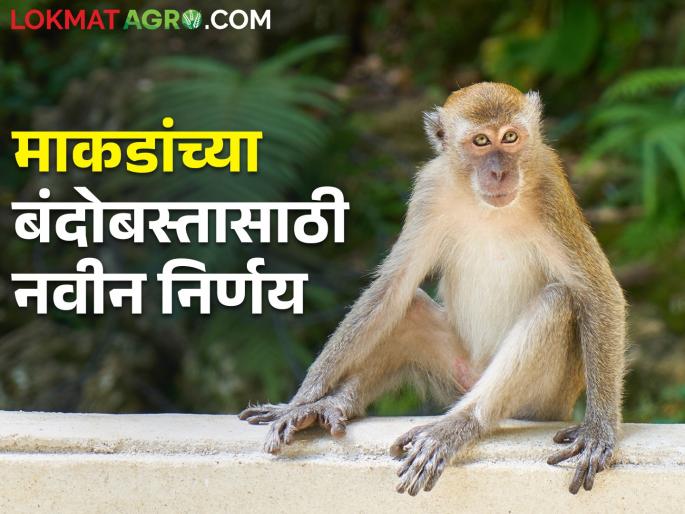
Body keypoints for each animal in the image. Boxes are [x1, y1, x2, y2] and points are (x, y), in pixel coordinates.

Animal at [239, 82, 626, 496]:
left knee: (556, 302)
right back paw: (332, 406)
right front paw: (300, 401)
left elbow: (598, 292)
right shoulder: (430, 189)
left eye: (510, 137)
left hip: (543, 399)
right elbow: (392, 288)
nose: (500, 171)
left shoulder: (552, 189)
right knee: (407, 310)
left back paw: (457, 426)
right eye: (480, 141)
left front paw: (599, 430)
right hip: (456, 370)